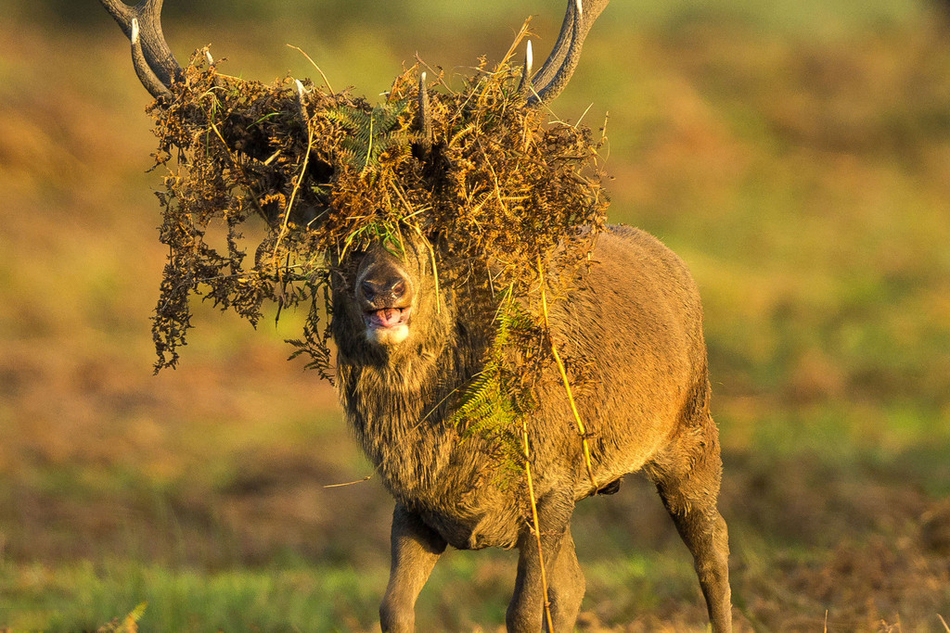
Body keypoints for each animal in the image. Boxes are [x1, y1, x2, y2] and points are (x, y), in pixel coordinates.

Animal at [100, 1, 733, 631]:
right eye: (336, 231)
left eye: (423, 222)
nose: (384, 288)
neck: (448, 455)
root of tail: (664, 253)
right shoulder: (411, 504)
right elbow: (394, 607)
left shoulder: (549, 483)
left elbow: (525, 613)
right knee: (577, 582)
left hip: (690, 429)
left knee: (713, 546)